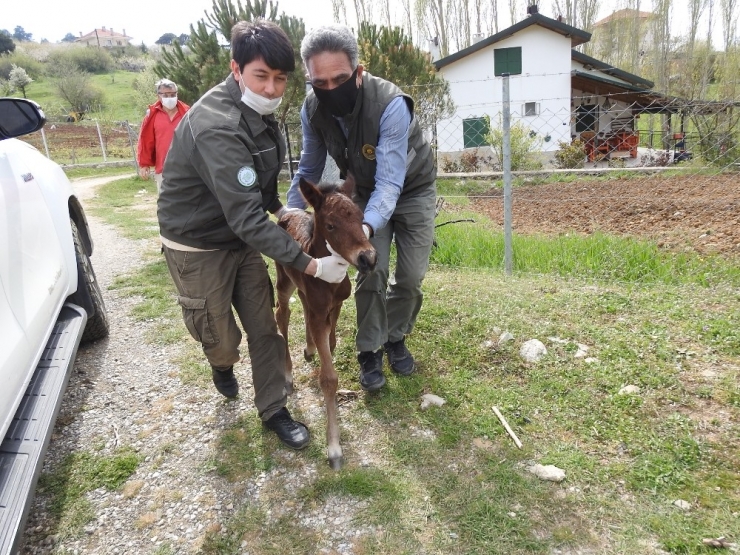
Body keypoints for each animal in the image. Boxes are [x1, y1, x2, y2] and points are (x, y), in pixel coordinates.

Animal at [274, 177, 376, 470]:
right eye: (331, 225)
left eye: (361, 219)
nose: (368, 259)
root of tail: (287, 214)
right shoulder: (321, 313)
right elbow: (328, 377)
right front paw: (334, 448)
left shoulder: (336, 306)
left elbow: (330, 343)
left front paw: (318, 350)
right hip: (283, 279)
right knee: (282, 314)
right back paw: (287, 375)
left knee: (303, 304)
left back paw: (309, 349)